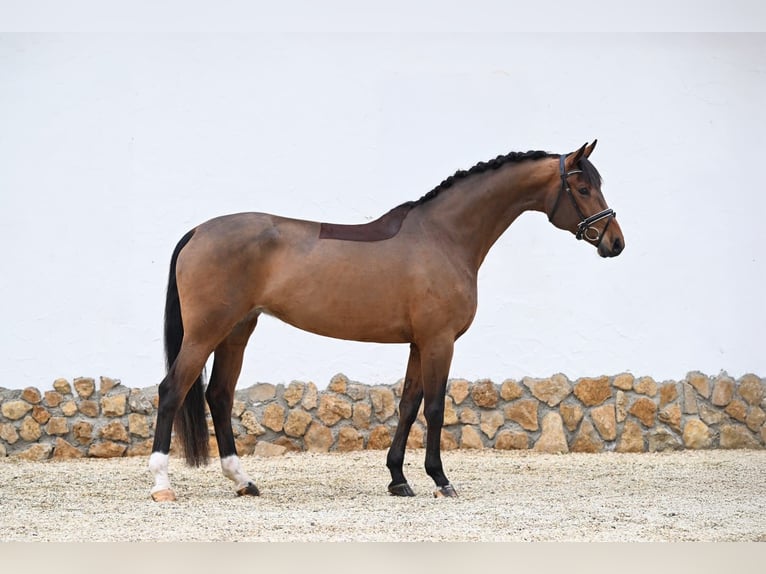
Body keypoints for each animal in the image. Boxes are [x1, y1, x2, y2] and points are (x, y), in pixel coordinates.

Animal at [148, 140, 624, 501]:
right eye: (583, 186)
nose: (615, 243)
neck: (443, 236)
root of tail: (198, 232)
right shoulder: (439, 341)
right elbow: (435, 409)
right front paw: (440, 480)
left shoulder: (418, 342)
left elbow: (409, 406)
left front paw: (398, 479)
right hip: (207, 331)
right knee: (172, 390)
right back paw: (162, 485)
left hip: (237, 330)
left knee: (219, 395)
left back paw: (243, 481)